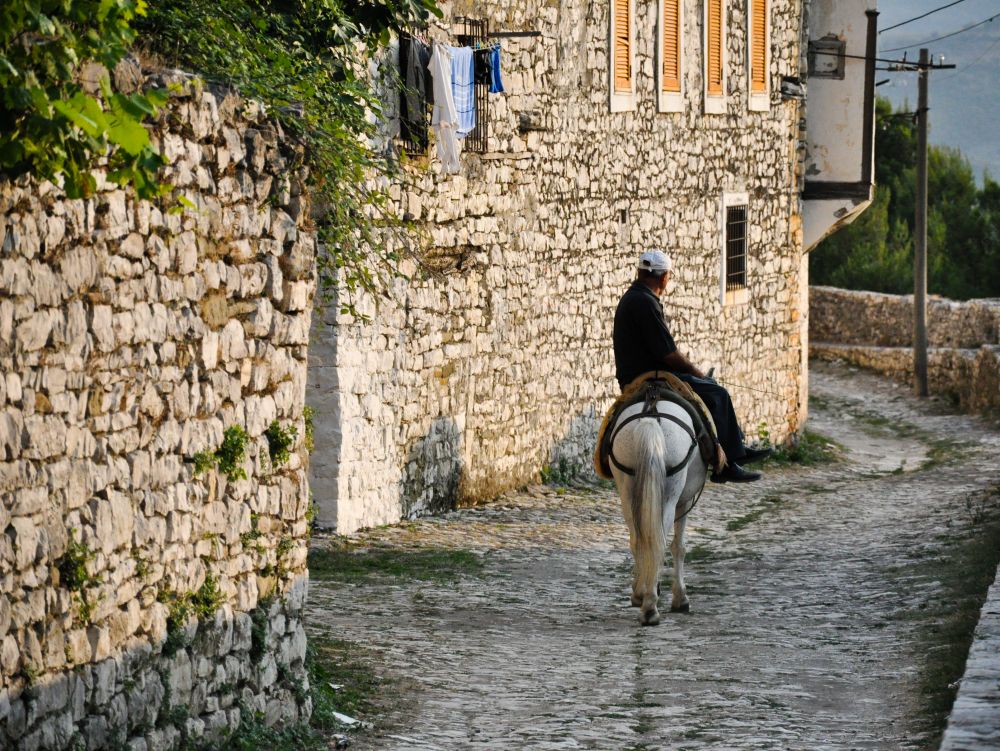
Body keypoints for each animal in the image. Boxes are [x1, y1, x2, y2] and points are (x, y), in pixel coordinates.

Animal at [604, 400, 708, 628]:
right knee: (657, 541)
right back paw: (650, 607)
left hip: (627, 488)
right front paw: (680, 598)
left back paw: (641, 594)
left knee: (638, 539)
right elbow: (679, 546)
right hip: (670, 494)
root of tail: (651, 416)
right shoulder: (684, 500)